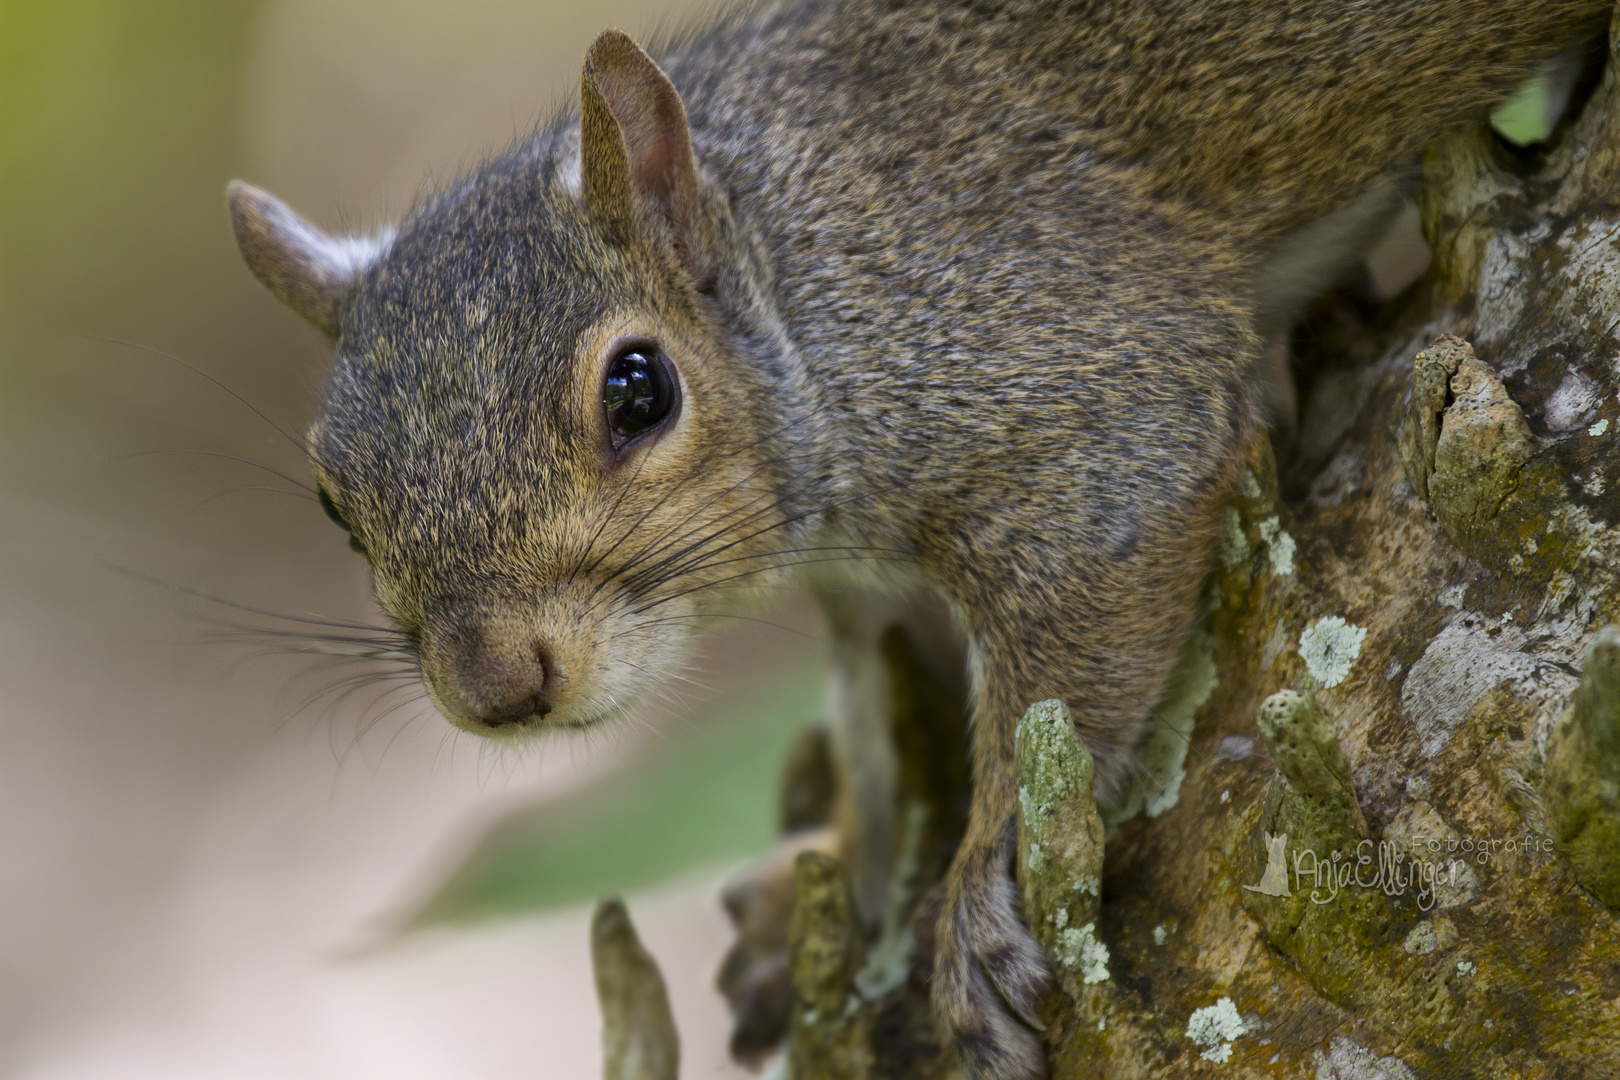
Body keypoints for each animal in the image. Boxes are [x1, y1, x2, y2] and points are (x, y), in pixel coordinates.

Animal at [221, 4, 1613, 1075]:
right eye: (334, 500)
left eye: (639, 390)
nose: (498, 685)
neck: (798, 273)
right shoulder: (863, 590)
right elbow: (889, 725)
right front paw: (837, 874)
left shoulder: (1078, 381)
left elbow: (1065, 662)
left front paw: (978, 900)